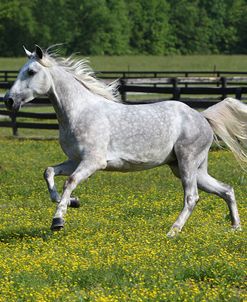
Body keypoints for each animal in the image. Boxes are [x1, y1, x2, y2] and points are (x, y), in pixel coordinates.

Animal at [4, 45, 247, 236]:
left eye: (31, 71)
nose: (8, 100)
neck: (79, 112)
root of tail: (202, 117)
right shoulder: (74, 160)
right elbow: (49, 173)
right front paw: (74, 202)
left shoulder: (93, 162)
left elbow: (69, 182)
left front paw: (58, 220)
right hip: (188, 167)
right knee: (226, 189)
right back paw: (235, 227)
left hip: (187, 162)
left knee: (192, 197)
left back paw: (173, 231)